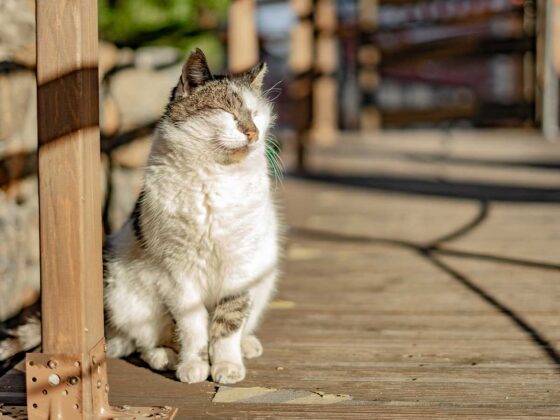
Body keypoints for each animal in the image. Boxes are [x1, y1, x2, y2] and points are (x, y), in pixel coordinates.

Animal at [0, 47, 280, 386]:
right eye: (228, 112)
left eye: (257, 114)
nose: (253, 132)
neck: (215, 182)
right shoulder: (178, 272)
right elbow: (193, 325)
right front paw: (195, 364)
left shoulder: (241, 266)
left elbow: (229, 323)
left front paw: (226, 365)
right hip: (127, 295)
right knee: (134, 343)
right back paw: (165, 357)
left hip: (264, 280)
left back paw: (246, 345)